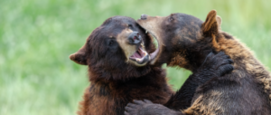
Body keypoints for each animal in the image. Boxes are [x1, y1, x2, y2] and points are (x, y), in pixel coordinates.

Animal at [69, 15, 234, 115]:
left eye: (129, 25)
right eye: (110, 42)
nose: (134, 37)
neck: (129, 79)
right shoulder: (116, 103)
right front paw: (214, 64)